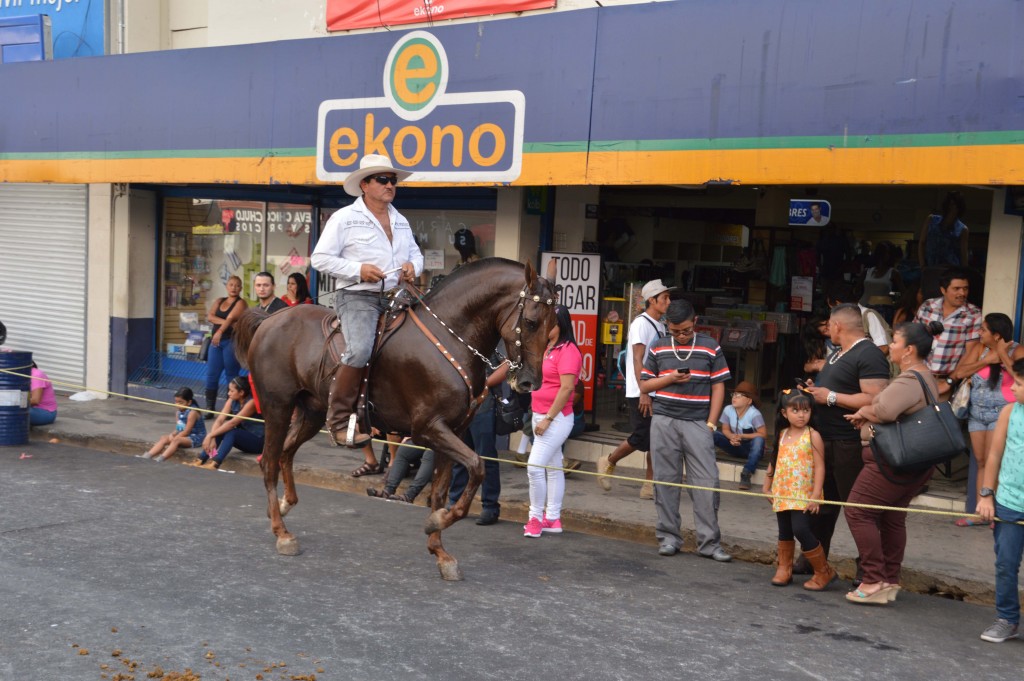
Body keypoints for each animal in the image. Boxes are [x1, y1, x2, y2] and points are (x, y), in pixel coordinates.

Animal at [233, 258, 557, 577]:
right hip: (277, 406)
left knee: (285, 453)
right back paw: (281, 532)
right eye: (530, 322)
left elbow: (441, 491)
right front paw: (437, 522)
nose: (530, 382)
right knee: (269, 462)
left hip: (311, 412)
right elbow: (477, 468)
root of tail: (270, 320)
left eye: (553, 325)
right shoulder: (429, 428)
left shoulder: (453, 431)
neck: (450, 337)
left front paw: (440, 550)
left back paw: (285, 506)